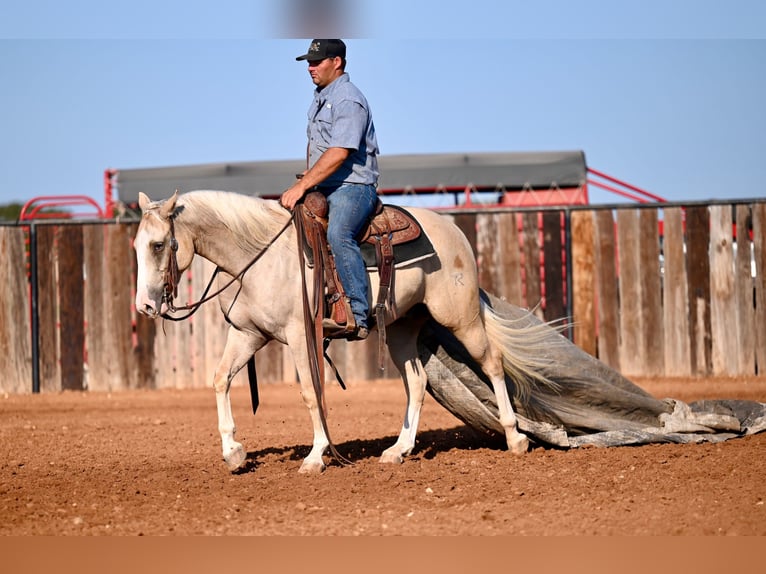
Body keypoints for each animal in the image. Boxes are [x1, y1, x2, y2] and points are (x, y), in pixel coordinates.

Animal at [135, 191, 560, 474]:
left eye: (158, 245)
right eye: (136, 245)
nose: (144, 306)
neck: (258, 257)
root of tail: (454, 232)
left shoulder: (299, 335)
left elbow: (311, 393)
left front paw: (315, 456)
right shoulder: (247, 334)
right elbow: (220, 379)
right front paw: (233, 452)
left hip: (461, 316)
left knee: (493, 363)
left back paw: (515, 438)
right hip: (402, 327)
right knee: (417, 381)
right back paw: (399, 449)